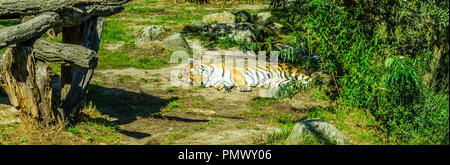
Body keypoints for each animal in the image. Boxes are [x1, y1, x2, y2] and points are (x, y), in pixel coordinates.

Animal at [178, 58, 312, 93]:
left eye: (190, 72)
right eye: (189, 80)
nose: (179, 76)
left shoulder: (235, 72)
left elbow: (239, 80)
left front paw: (243, 88)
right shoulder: (219, 81)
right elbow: (219, 85)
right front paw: (224, 89)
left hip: (293, 73)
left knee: (311, 79)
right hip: (281, 82)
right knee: (296, 84)